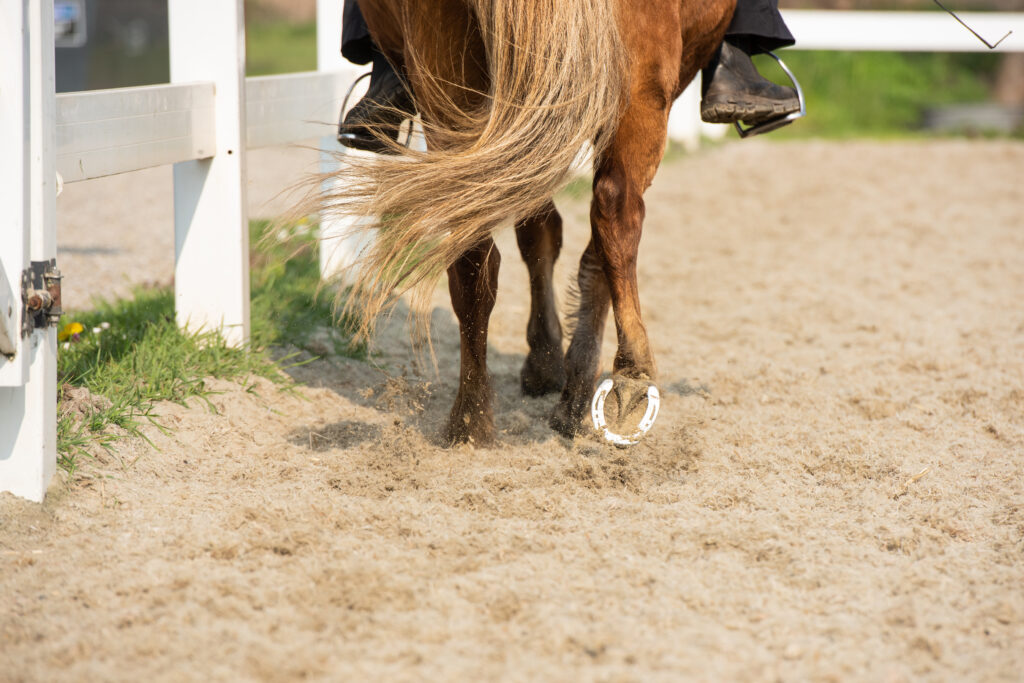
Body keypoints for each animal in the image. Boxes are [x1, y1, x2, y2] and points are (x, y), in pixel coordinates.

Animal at [327, 0, 737, 446]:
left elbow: (544, 234)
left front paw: (551, 364)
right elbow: (555, 237)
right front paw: (560, 370)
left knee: (481, 248)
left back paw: (471, 420)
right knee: (615, 206)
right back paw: (624, 375)